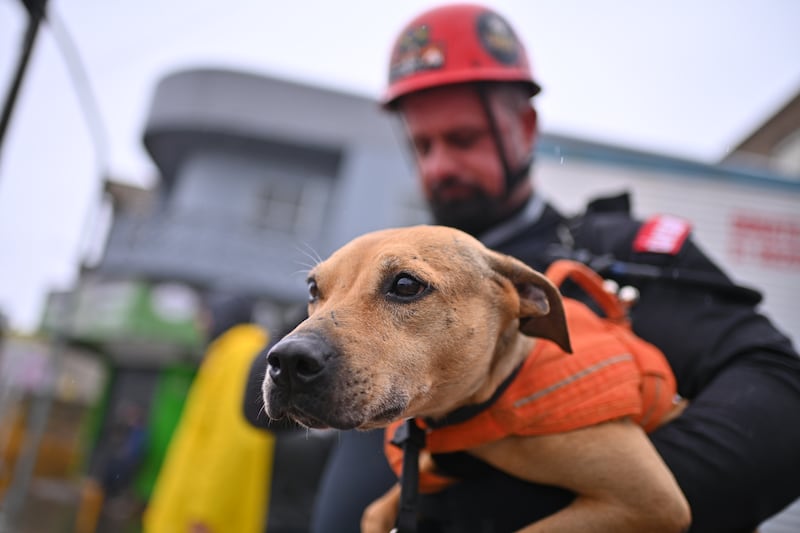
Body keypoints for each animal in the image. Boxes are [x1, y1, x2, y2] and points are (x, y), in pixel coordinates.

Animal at [260, 225, 688, 532]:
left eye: (406, 285)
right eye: (313, 289)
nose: (288, 361)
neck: (494, 391)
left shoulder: (651, 498)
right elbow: (375, 511)